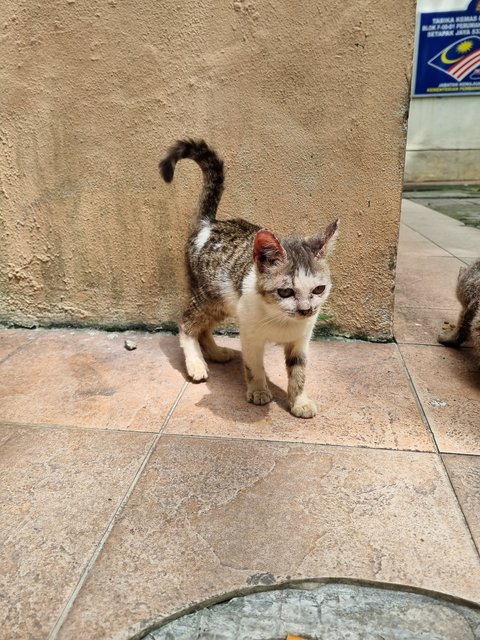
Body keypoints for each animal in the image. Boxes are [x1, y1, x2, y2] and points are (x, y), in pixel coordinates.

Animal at [159, 139, 340, 420]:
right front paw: (258, 391)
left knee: (204, 328)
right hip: (208, 296)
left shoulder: (301, 341)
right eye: (285, 292)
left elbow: (299, 372)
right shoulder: (251, 335)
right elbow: (254, 365)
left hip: (224, 303)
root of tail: (209, 223)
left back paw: (216, 353)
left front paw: (299, 401)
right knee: (187, 322)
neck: (281, 320)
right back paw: (196, 363)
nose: (306, 310)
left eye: (319, 289)